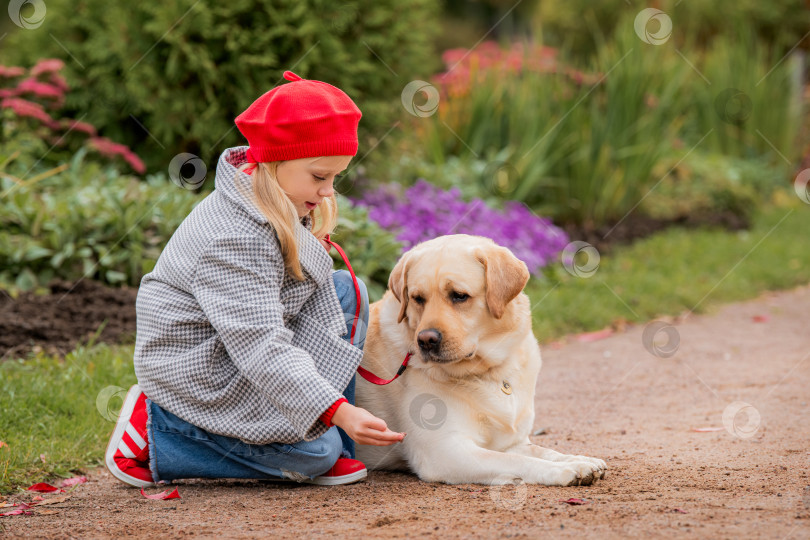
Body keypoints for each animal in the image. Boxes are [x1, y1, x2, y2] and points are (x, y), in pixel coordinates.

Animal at [356, 235, 608, 486]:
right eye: (418, 299)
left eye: (459, 295)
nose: (425, 340)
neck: (487, 370)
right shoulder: (444, 451)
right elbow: (518, 462)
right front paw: (565, 470)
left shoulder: (511, 442)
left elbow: (544, 451)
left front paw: (579, 460)